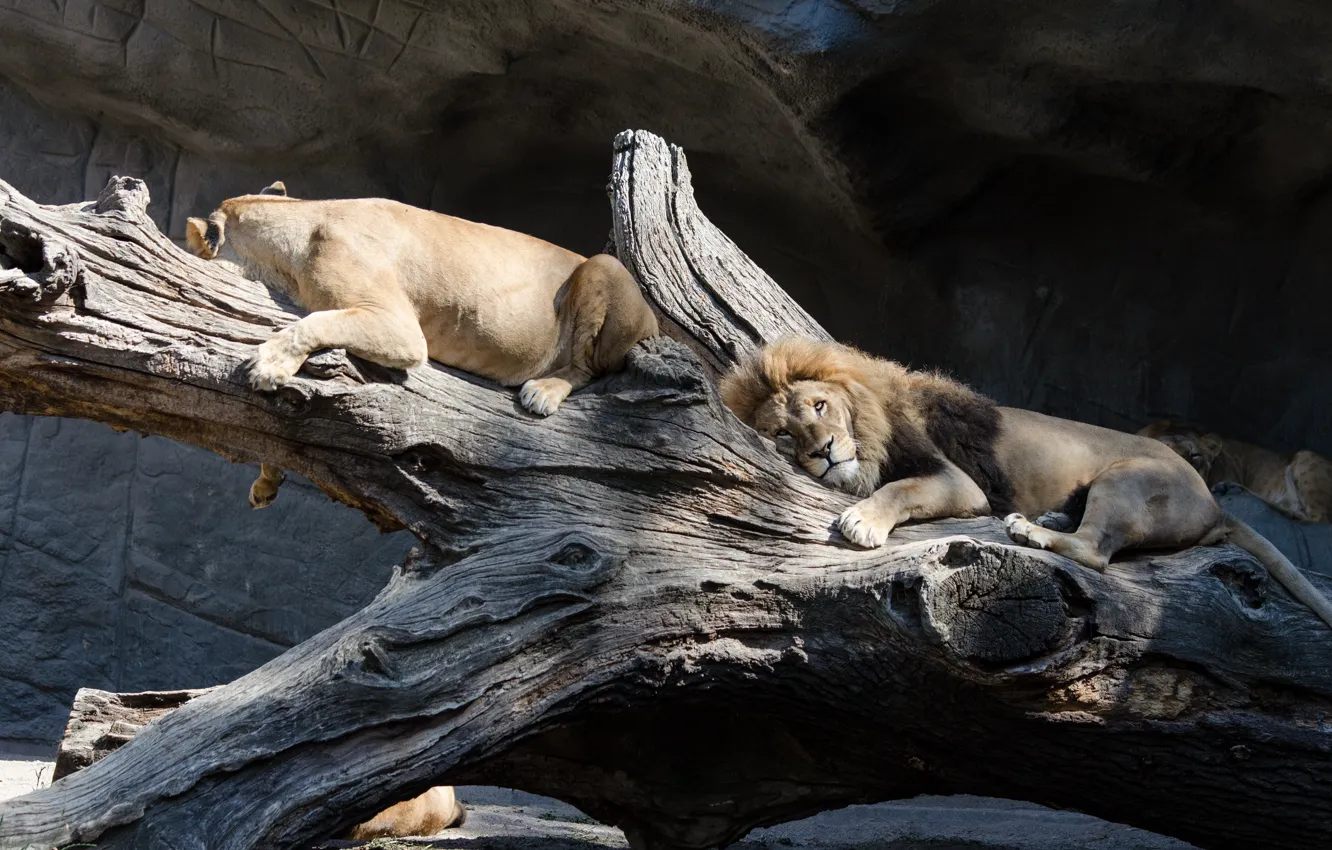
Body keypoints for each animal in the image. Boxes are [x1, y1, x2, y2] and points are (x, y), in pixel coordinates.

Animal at [186, 181, 658, 508]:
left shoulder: (400, 327)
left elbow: (315, 321)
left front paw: (269, 365)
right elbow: (278, 428)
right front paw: (267, 482)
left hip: (605, 267)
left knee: (590, 368)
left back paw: (542, 391)